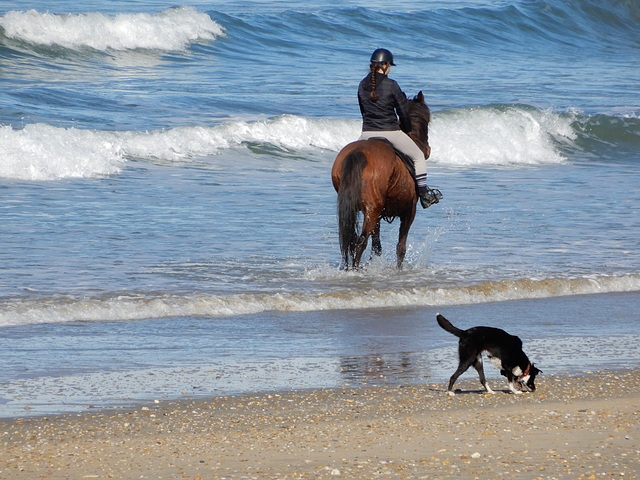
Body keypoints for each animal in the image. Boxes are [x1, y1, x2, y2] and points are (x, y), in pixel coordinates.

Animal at [330, 90, 430, 270]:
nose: (427, 150)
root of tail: (357, 153)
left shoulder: (378, 213)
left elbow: (377, 245)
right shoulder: (409, 211)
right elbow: (400, 247)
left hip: (362, 209)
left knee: (351, 240)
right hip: (373, 210)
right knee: (361, 241)